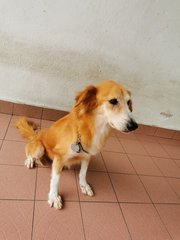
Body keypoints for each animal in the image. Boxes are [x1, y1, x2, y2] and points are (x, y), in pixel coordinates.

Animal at [16, 80, 138, 208]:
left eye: (128, 102)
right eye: (113, 101)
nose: (134, 126)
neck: (93, 128)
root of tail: (36, 135)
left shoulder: (87, 155)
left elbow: (83, 173)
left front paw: (84, 185)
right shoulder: (59, 157)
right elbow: (55, 180)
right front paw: (54, 197)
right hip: (39, 148)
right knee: (29, 151)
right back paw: (30, 160)